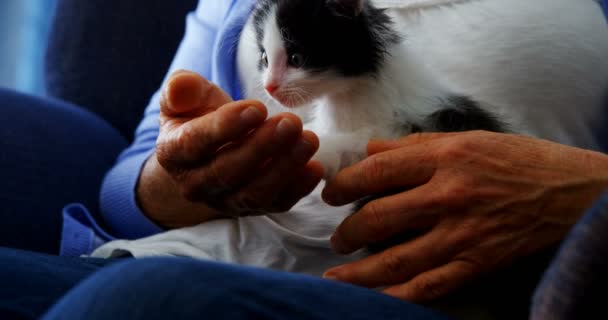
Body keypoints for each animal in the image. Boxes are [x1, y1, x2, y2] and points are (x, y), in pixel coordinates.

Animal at [235, 0, 506, 180]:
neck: (349, 94)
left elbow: (351, 145)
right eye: (265, 59)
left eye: (296, 58)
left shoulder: (400, 130)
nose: (270, 87)